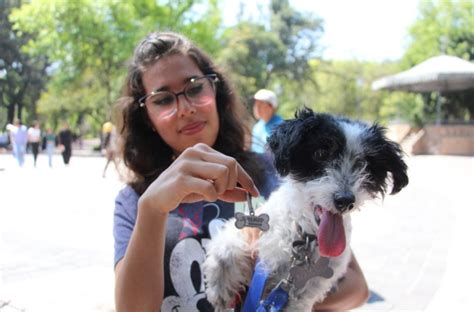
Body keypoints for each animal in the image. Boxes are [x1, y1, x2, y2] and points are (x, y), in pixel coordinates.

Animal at [203, 108, 408, 310]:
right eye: (321, 154)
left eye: (363, 164)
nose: (345, 201)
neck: (304, 236)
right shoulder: (249, 230)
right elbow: (224, 250)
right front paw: (219, 290)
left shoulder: (304, 291)